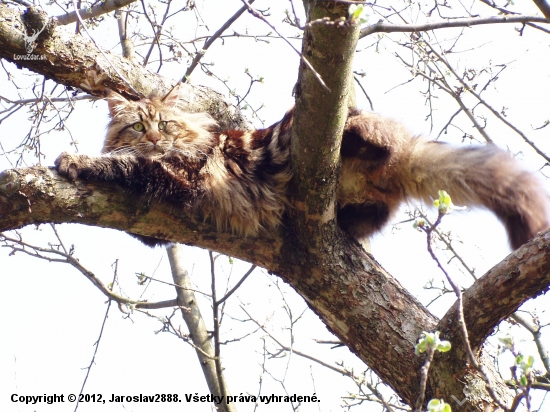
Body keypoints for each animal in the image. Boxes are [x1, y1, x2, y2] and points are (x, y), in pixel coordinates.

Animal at [56, 85, 550, 249]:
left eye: (165, 124)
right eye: (139, 126)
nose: (156, 138)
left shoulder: (181, 170)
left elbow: (120, 164)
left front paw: (72, 159)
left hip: (330, 124)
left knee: (375, 138)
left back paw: (357, 137)